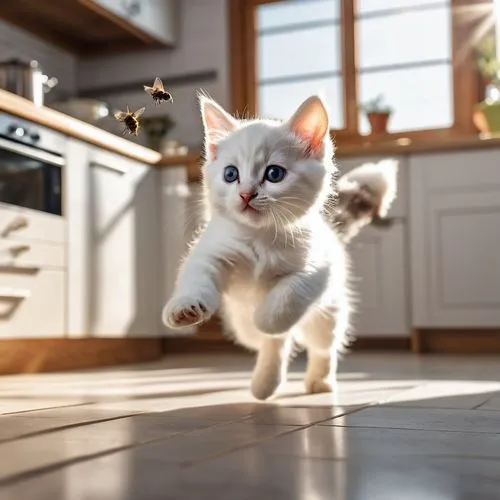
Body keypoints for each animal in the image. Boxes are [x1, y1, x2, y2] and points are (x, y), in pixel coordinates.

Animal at [162, 94, 350, 400]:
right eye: (230, 174)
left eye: (274, 173)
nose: (246, 194)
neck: (259, 238)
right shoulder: (212, 252)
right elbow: (197, 277)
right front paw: (184, 307)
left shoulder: (319, 268)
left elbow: (289, 294)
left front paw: (264, 318)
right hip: (239, 327)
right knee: (262, 341)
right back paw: (265, 382)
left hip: (328, 312)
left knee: (321, 345)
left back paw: (319, 380)